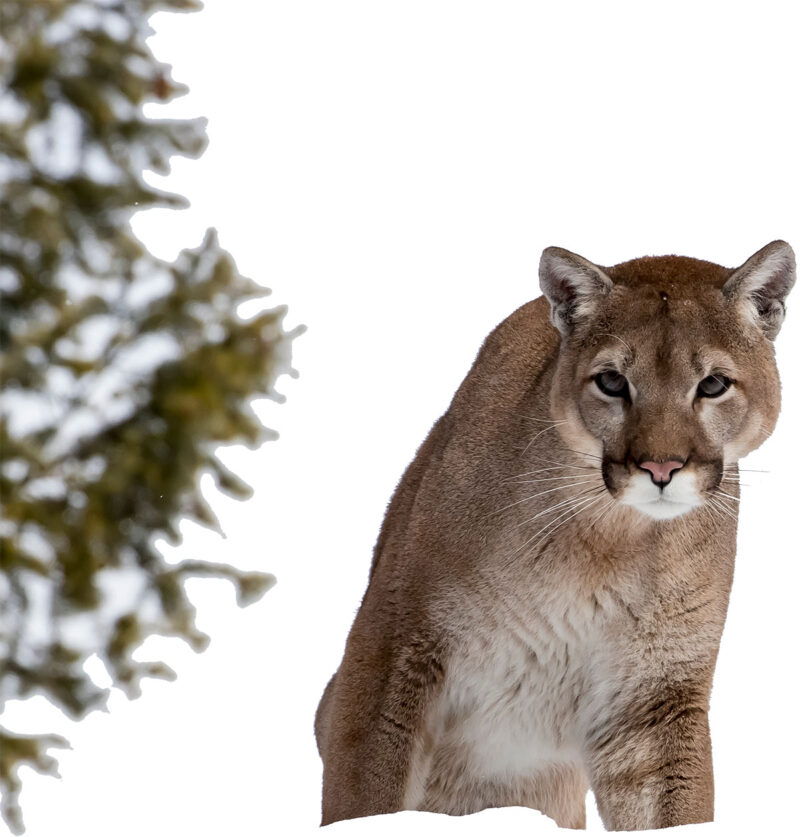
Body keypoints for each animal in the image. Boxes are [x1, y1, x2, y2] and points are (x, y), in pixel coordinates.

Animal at [314, 242, 792, 828]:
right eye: (612, 381)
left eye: (714, 385)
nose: (660, 467)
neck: (607, 540)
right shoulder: (395, 640)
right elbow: (367, 796)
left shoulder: (654, 696)